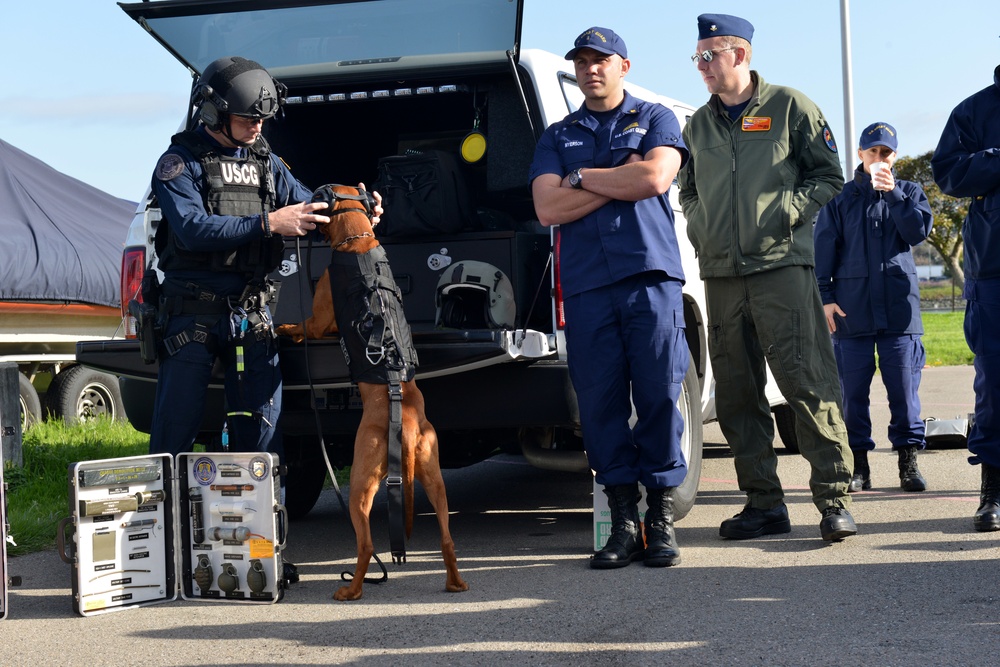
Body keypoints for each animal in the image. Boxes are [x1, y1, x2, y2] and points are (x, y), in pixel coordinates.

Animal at [276, 183, 466, 600]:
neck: (357, 242)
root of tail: (404, 423)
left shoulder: (318, 322)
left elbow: (297, 325)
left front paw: (277, 326)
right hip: (435, 481)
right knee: (447, 538)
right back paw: (455, 582)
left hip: (360, 487)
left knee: (366, 545)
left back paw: (351, 590)